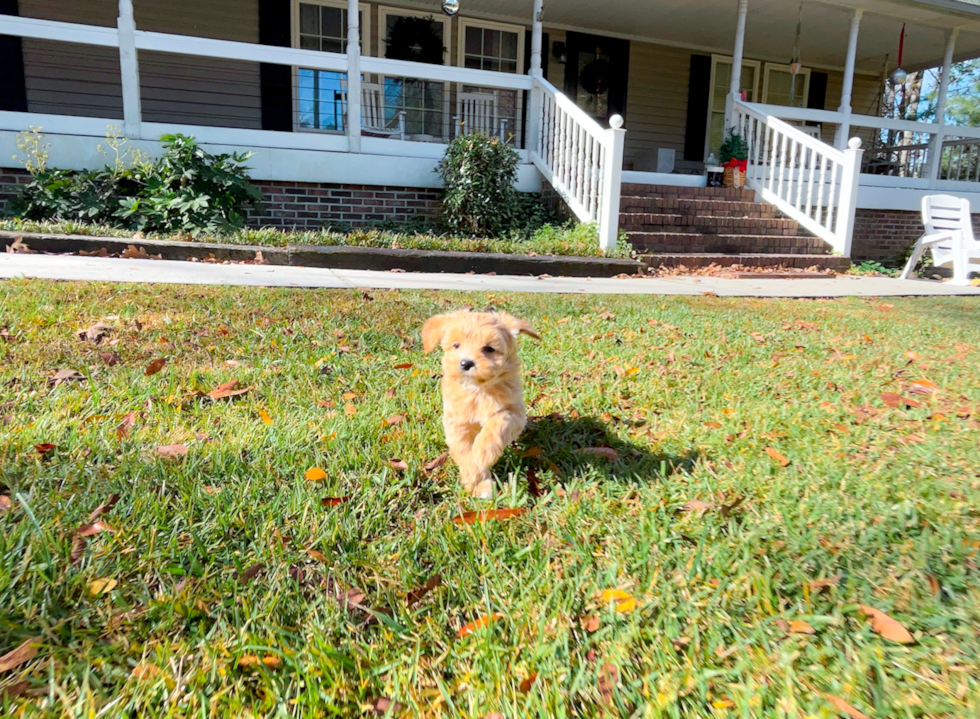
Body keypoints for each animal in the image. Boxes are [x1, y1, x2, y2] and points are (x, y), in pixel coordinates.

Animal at [424, 312, 540, 498]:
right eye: (456, 345)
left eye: (489, 349)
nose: (466, 363)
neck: (478, 390)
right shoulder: (458, 425)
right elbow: (465, 453)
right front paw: (479, 484)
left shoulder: (514, 412)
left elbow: (498, 422)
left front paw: (483, 453)